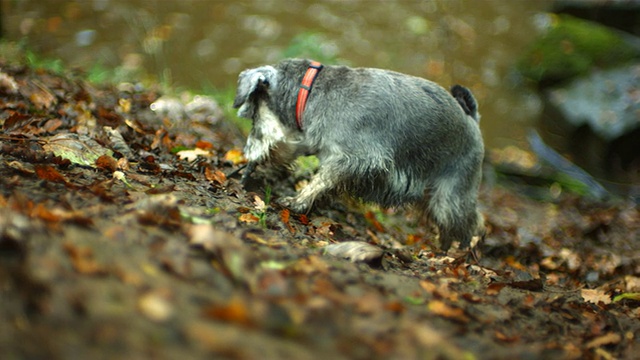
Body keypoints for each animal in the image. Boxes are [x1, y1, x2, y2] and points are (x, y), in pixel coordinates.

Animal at [234, 58, 484, 250]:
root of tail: (471, 117)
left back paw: (458, 251)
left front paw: (297, 201)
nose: (247, 153)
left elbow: (322, 180)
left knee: (468, 223)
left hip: (450, 197)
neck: (310, 95)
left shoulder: (358, 158)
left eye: (252, 116)